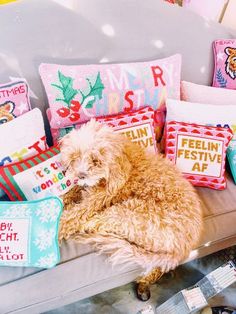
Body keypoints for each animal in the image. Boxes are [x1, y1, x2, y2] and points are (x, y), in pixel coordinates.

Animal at [59, 119, 203, 300]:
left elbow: (69, 218)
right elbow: (69, 194)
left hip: (126, 212)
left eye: (96, 160)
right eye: (75, 156)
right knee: (159, 266)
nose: (80, 175)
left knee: (90, 223)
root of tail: (183, 248)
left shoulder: (93, 201)